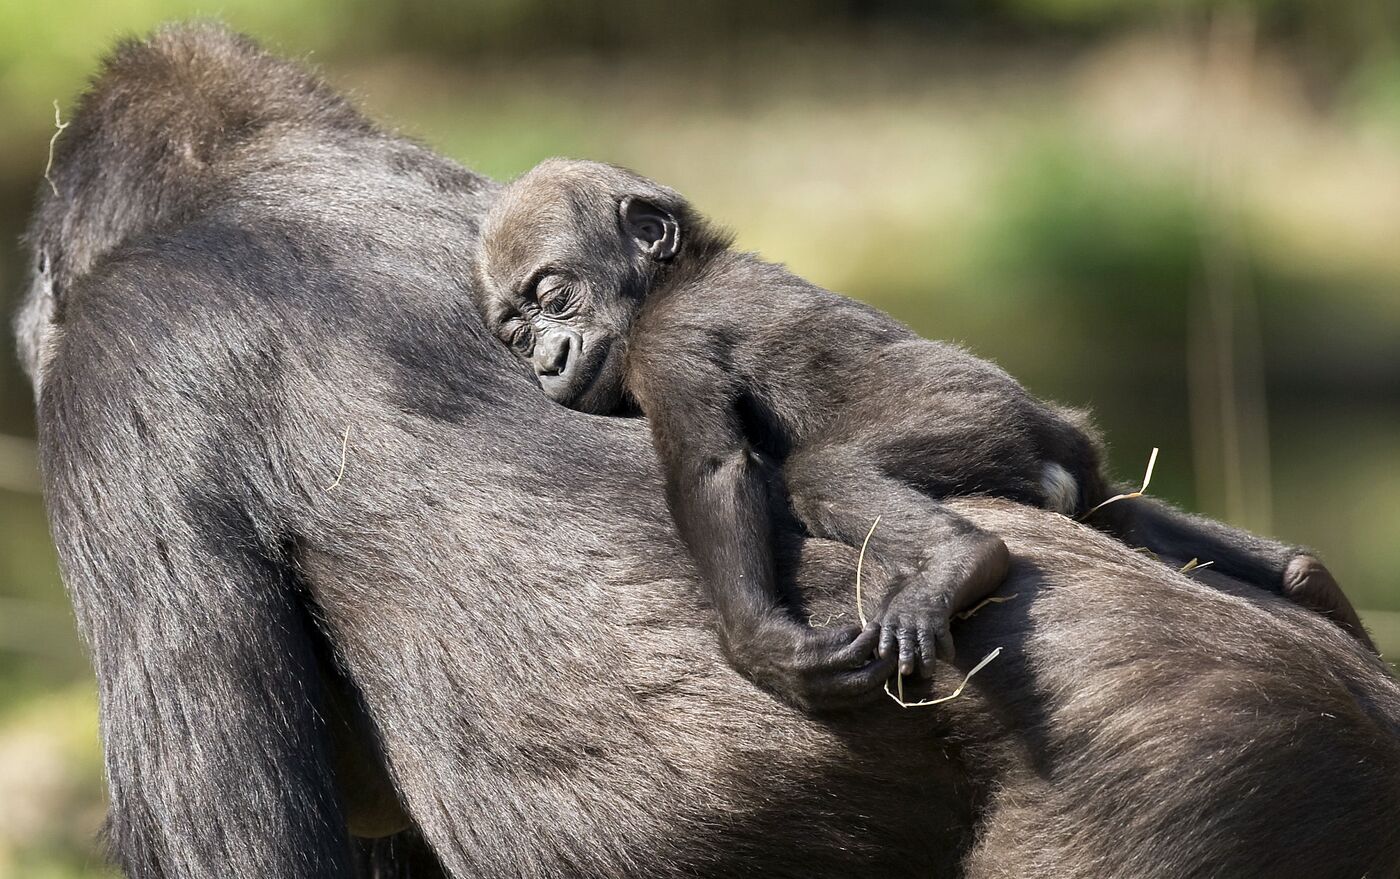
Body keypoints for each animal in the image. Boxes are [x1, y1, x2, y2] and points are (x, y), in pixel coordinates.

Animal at [476, 158, 1372, 711]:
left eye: (554, 298)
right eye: (515, 332)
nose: (547, 360)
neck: (673, 277)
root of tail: (1055, 435)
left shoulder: (670, 343)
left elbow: (712, 466)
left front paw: (761, 643)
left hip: (972, 415)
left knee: (825, 473)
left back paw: (961, 560)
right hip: (1076, 464)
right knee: (1125, 511)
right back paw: (1305, 579)